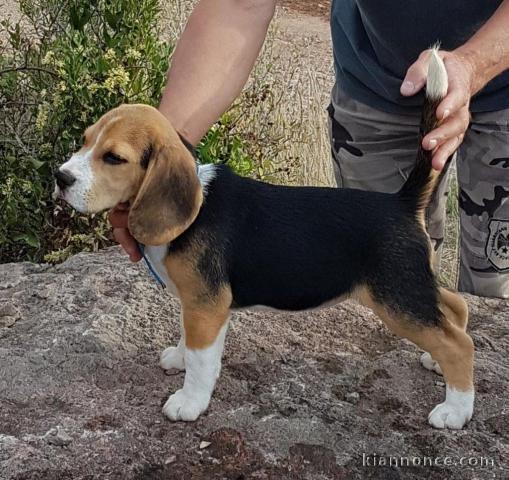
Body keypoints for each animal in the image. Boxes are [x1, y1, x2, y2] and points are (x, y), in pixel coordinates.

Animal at [54, 50, 472, 430]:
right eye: (84, 141)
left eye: (113, 158)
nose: (60, 177)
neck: (195, 209)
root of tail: (400, 202)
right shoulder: (195, 304)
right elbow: (188, 338)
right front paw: (179, 357)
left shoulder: (207, 306)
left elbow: (202, 360)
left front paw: (189, 401)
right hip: (412, 286)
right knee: (455, 307)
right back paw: (439, 364)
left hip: (396, 298)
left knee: (459, 343)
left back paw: (455, 408)